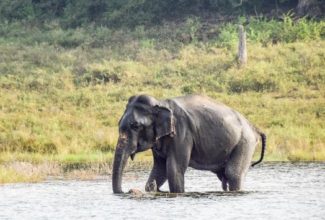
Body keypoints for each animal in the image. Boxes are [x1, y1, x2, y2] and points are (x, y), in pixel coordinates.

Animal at [112, 93, 264, 193]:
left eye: (136, 126)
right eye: (118, 124)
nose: (128, 191)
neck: (160, 103)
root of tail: (254, 127)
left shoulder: (182, 133)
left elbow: (174, 169)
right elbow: (159, 170)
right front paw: (151, 188)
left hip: (245, 142)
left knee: (233, 173)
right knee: (224, 176)